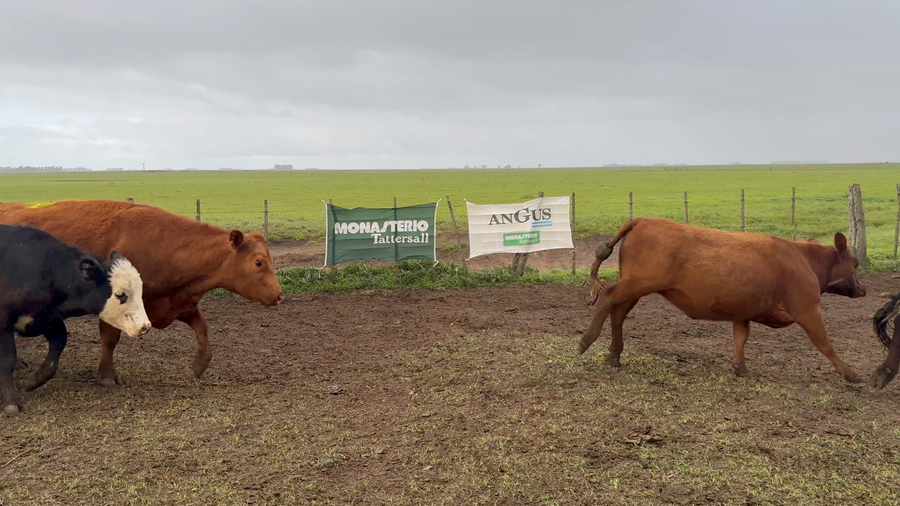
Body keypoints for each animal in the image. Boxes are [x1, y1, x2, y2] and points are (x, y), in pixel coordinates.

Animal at [0, 200, 284, 388]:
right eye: (258, 262)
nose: (280, 295)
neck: (166, 246)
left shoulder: (178, 302)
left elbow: (201, 328)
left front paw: (200, 364)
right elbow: (110, 339)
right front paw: (107, 376)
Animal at [0, 224, 151, 417]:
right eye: (120, 295)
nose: (145, 326)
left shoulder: (47, 318)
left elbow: (58, 344)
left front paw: (33, 381)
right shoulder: (3, 322)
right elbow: (7, 359)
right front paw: (12, 401)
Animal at [581, 218, 867, 383]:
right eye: (855, 263)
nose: (863, 289)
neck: (805, 259)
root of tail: (644, 220)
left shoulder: (743, 312)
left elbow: (741, 337)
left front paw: (740, 367)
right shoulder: (808, 310)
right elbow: (824, 343)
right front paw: (849, 372)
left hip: (636, 288)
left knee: (618, 313)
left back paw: (614, 355)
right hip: (637, 284)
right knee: (608, 297)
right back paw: (587, 340)